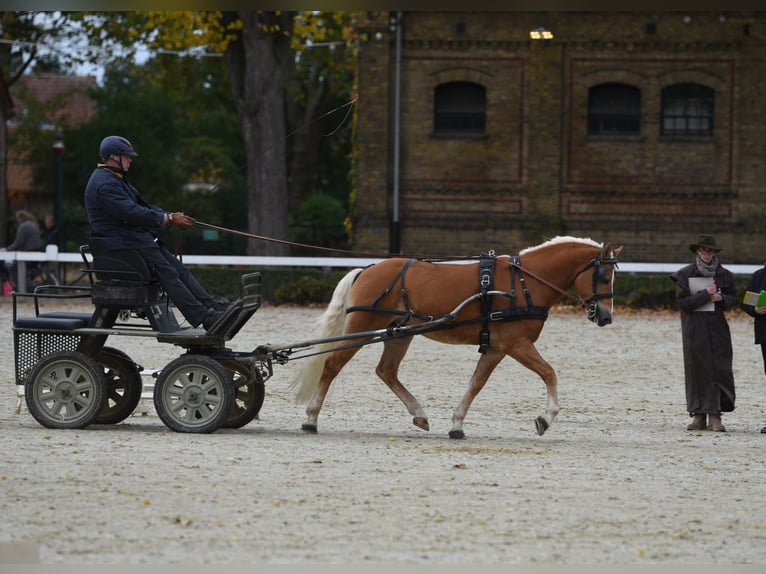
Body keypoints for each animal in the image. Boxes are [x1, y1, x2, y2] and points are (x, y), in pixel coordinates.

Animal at [294, 236, 624, 438]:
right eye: (604, 276)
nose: (606, 317)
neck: (523, 282)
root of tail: (368, 269)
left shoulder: (496, 348)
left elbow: (476, 384)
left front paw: (456, 424)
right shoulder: (516, 344)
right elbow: (549, 373)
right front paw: (547, 417)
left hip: (399, 333)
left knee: (386, 371)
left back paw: (419, 414)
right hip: (362, 326)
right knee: (332, 364)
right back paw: (310, 418)